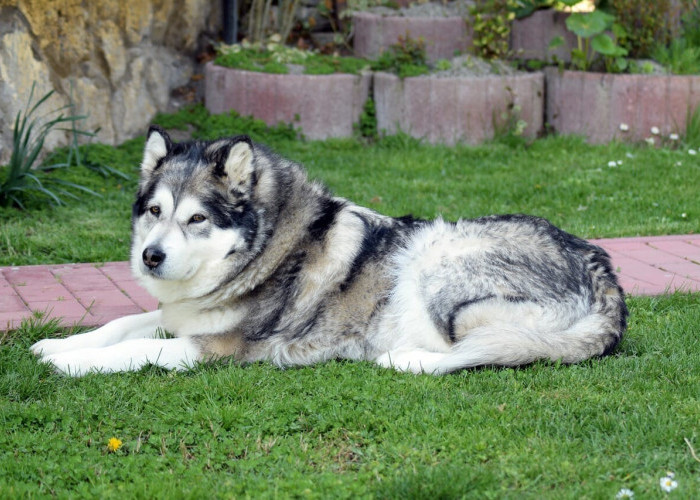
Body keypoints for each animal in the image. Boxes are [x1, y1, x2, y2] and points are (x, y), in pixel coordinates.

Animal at [31, 127, 628, 376]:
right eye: (154, 211)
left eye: (197, 219)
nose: (150, 258)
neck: (265, 251)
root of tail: (606, 277)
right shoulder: (181, 315)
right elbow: (123, 324)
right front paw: (57, 345)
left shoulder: (221, 347)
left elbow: (136, 349)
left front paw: (73, 363)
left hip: (437, 265)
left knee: (485, 351)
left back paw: (404, 359)